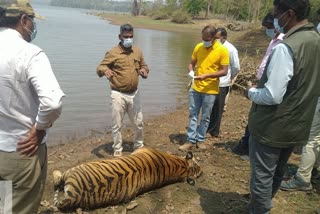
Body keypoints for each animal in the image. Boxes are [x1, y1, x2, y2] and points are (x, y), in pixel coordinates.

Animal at [53, 146, 202, 211]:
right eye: (197, 165)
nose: (202, 170)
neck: (180, 167)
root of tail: (72, 195)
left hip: (72, 170)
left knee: (57, 179)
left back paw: (55, 172)